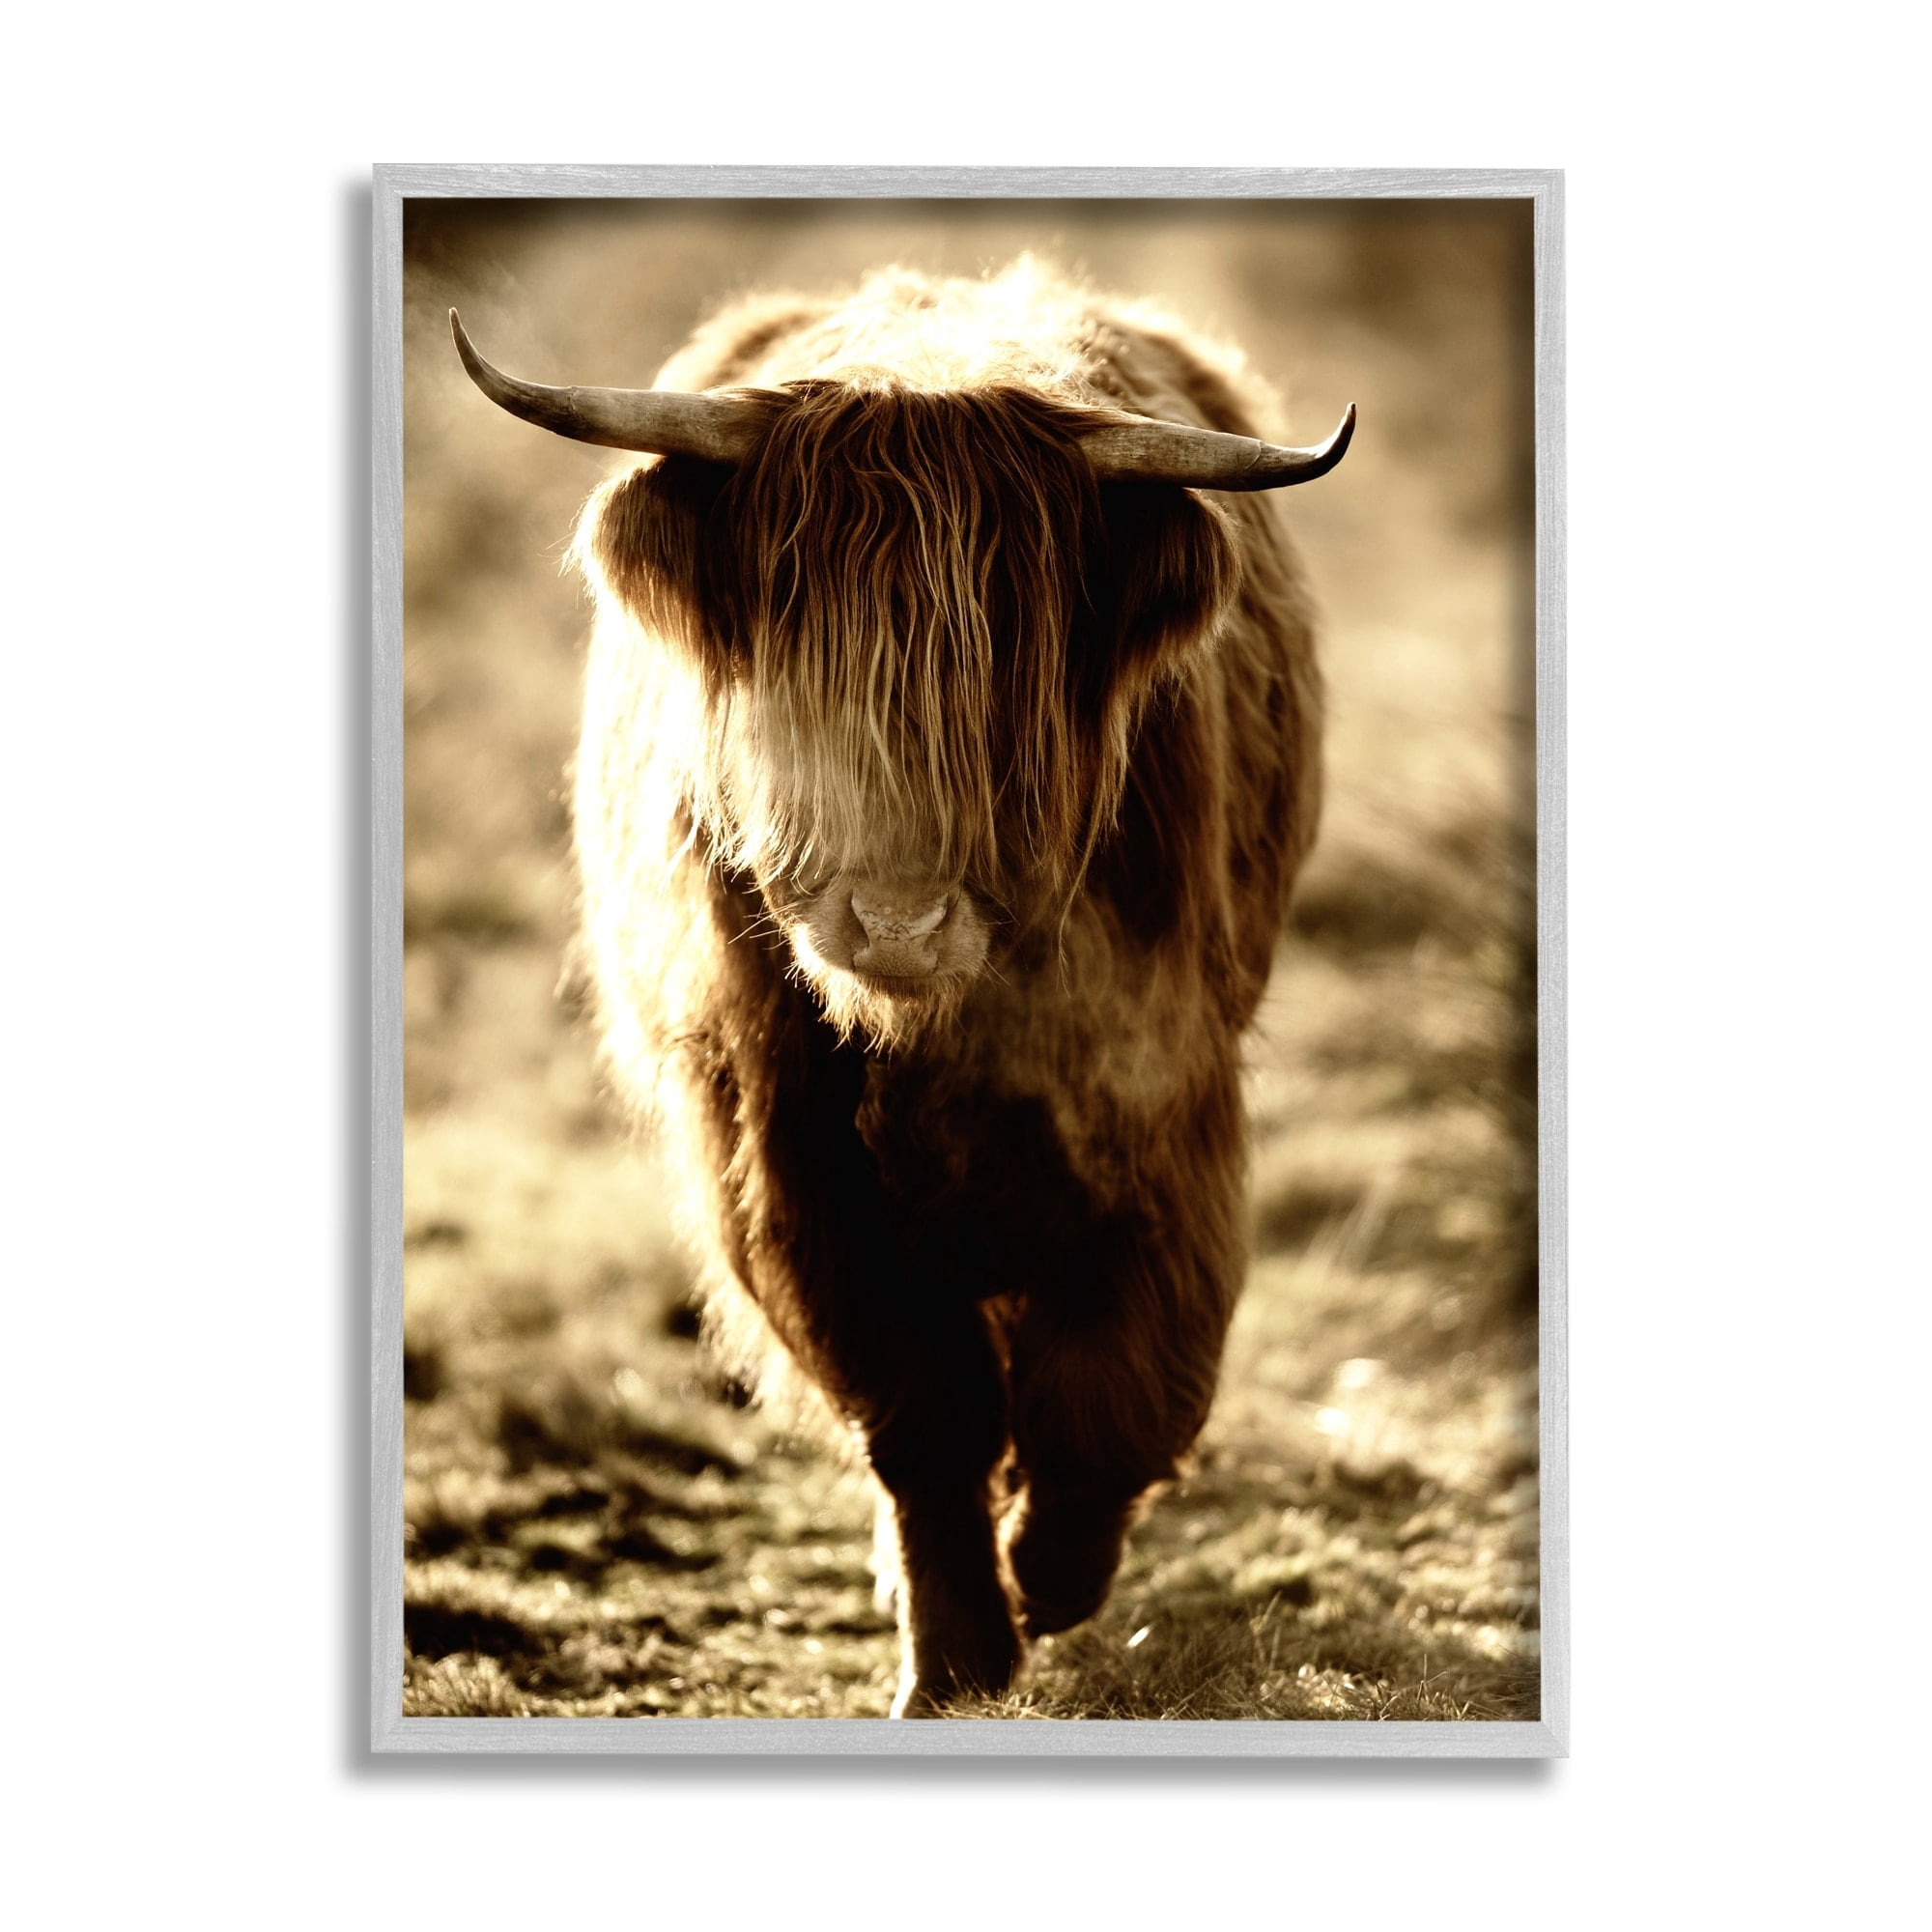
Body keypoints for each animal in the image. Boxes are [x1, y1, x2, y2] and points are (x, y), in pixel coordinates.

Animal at [449, 260, 1353, 1716]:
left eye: (1008, 676)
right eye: (798, 669)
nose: (895, 917)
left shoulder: (1161, 1101)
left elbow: (1113, 1386)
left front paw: (1052, 1575)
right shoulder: (784, 1147)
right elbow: (920, 1406)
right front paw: (958, 1660)